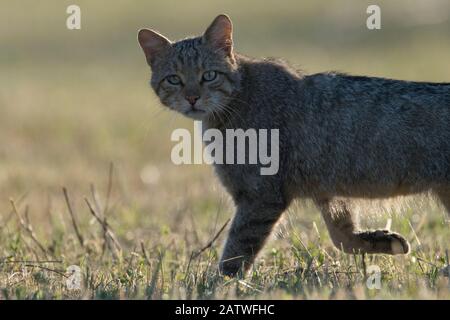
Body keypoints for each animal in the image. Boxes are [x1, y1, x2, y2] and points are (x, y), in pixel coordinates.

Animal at [137, 13, 450, 276]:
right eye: (174, 79)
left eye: (209, 75)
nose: (192, 98)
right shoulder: (326, 190)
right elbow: (342, 237)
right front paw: (379, 241)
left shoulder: (260, 197)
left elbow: (235, 252)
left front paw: (217, 286)